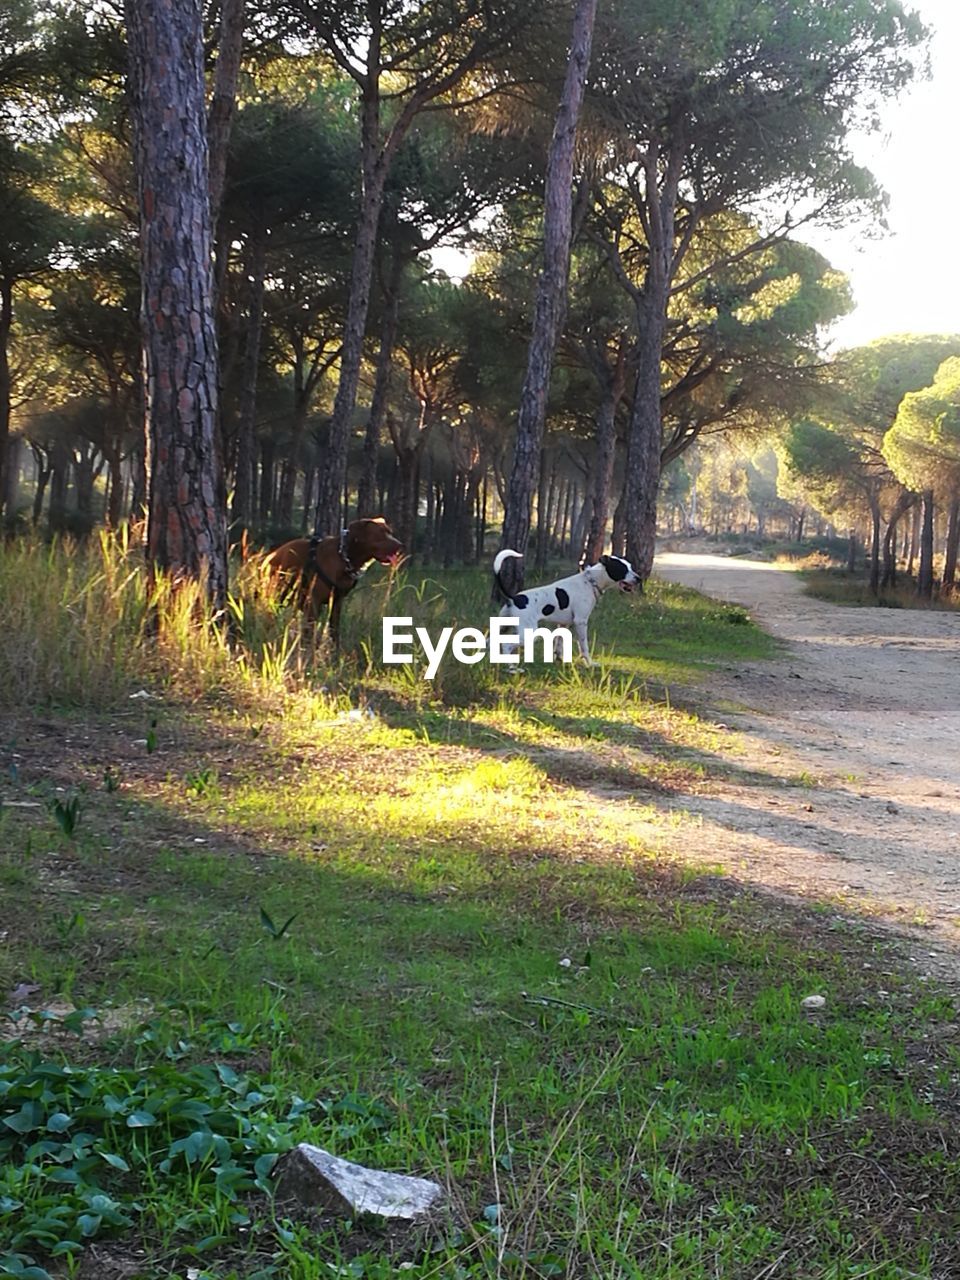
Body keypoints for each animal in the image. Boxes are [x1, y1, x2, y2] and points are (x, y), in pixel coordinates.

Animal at [267, 514, 407, 650]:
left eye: (390, 532)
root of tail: (271, 555)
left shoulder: (337, 603)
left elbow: (334, 631)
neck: (344, 558)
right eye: (380, 534)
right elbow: (310, 630)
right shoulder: (314, 601)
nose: (401, 545)